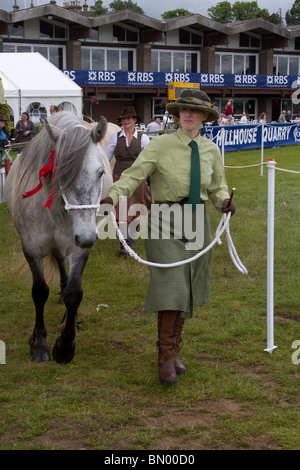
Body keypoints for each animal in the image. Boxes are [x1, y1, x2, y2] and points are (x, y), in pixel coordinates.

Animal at [4, 111, 117, 364]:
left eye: (101, 173)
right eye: (59, 174)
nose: (87, 237)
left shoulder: (78, 249)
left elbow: (74, 294)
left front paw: (64, 346)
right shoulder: (32, 248)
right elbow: (39, 292)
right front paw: (39, 344)